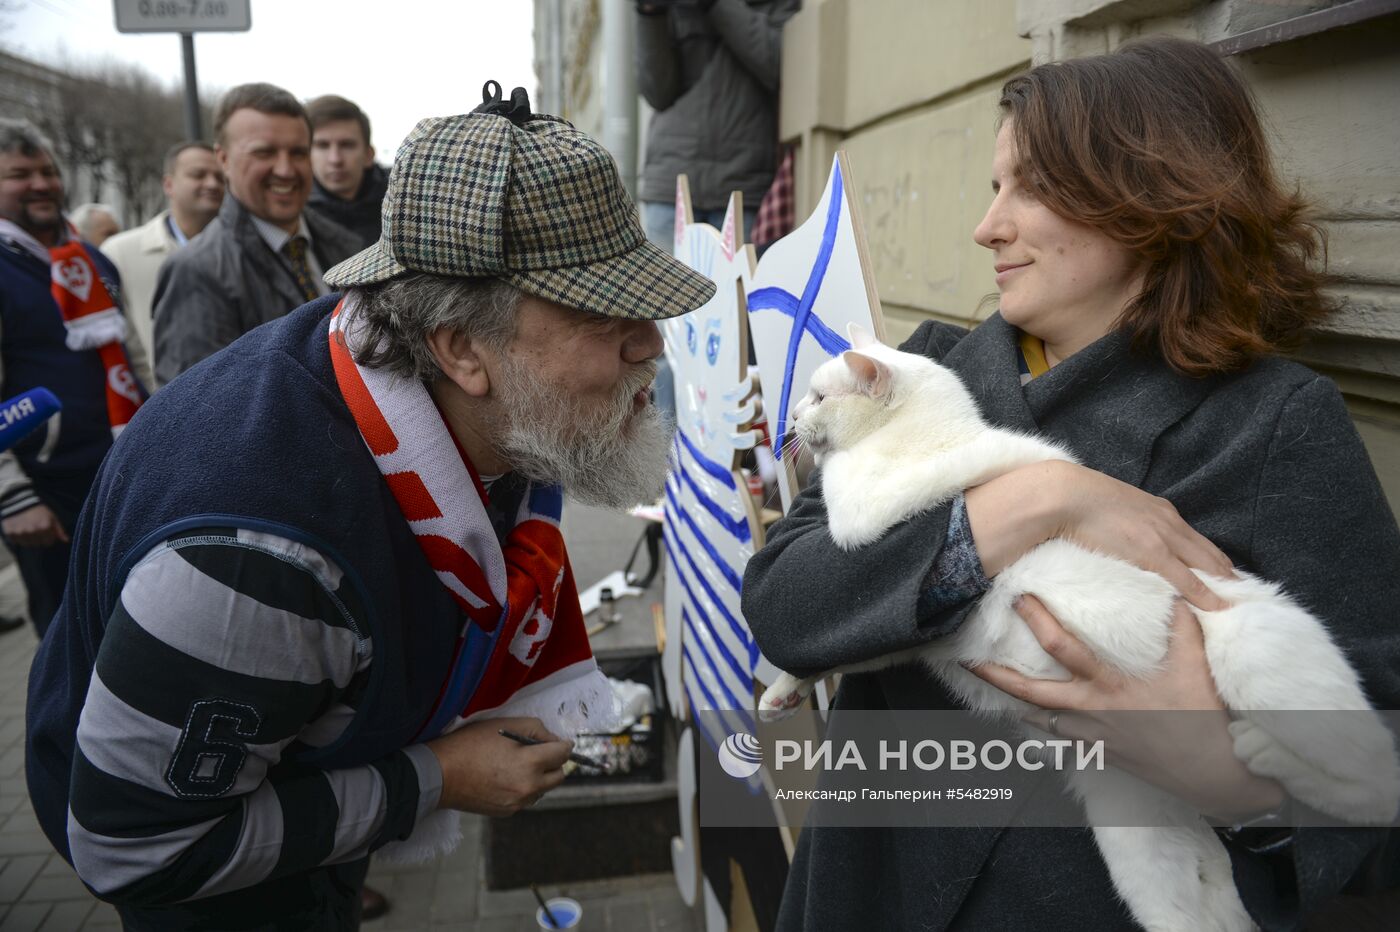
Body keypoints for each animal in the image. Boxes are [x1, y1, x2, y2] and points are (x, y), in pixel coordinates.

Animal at [767, 323, 1400, 923]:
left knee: (1377, 786)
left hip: (1263, 679)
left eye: (818, 396)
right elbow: (853, 649)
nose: (791, 417)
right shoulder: (921, 628)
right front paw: (783, 692)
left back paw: (1266, 754)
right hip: (1139, 844)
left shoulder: (866, 512)